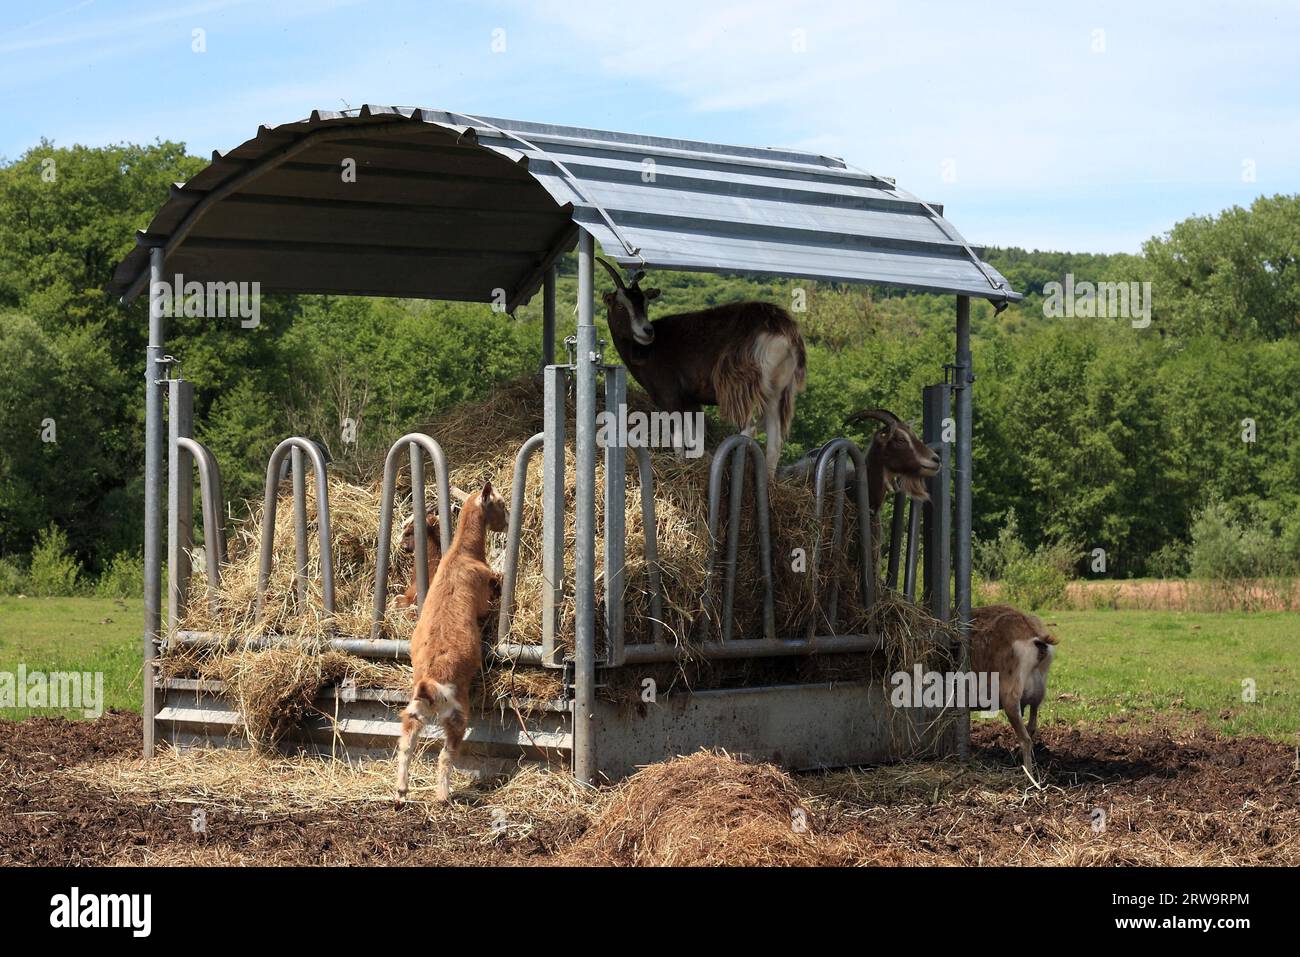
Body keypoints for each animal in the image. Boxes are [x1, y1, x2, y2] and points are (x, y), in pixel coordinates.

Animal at [390, 481, 506, 806]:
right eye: (502, 504)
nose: (506, 524)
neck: (461, 554)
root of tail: (429, 685)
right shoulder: (485, 599)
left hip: (413, 712)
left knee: (406, 744)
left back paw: (401, 791)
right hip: (456, 715)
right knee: (445, 754)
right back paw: (443, 795)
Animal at [595, 257, 800, 478]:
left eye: (645, 304)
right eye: (620, 305)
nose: (647, 331)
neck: (647, 351)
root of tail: (780, 331)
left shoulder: (669, 395)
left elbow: (678, 438)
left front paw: (680, 468)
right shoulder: (691, 401)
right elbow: (694, 438)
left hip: (741, 387)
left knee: (749, 427)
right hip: (776, 392)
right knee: (775, 439)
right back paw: (769, 480)